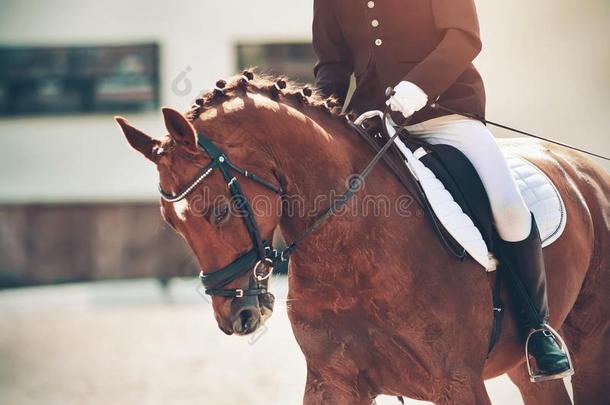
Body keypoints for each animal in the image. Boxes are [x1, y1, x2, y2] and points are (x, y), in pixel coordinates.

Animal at [115, 73, 608, 404]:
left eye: (218, 210)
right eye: (171, 222)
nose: (237, 316)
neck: (352, 252)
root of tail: (584, 169)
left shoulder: (457, 380)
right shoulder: (332, 381)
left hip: (590, 350)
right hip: (525, 369)